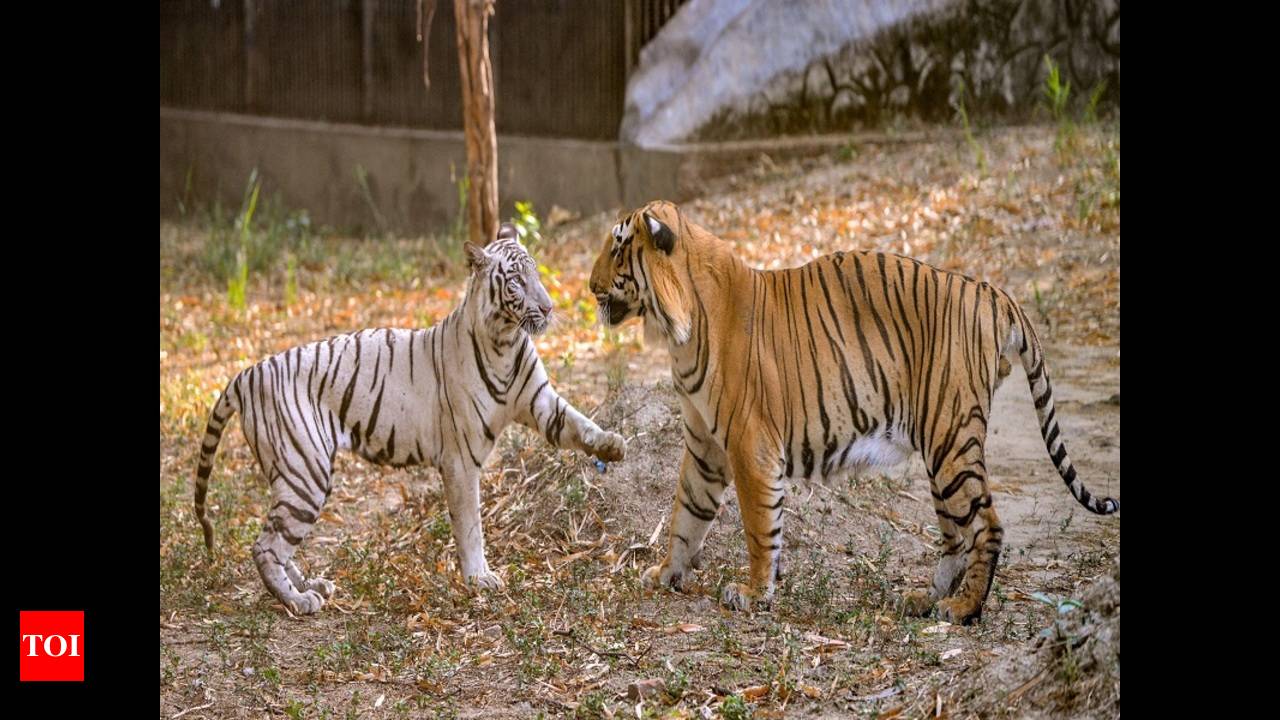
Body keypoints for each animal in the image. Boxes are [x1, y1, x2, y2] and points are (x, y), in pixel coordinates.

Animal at [193, 222, 624, 609]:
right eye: (516, 281)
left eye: (536, 271)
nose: (549, 307)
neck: (505, 340)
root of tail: (249, 373)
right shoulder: (461, 458)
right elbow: (470, 524)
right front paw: (480, 578)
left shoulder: (540, 401)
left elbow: (578, 423)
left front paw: (612, 444)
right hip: (305, 471)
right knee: (265, 546)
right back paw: (298, 601)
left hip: (294, 475)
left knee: (278, 541)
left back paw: (312, 586)